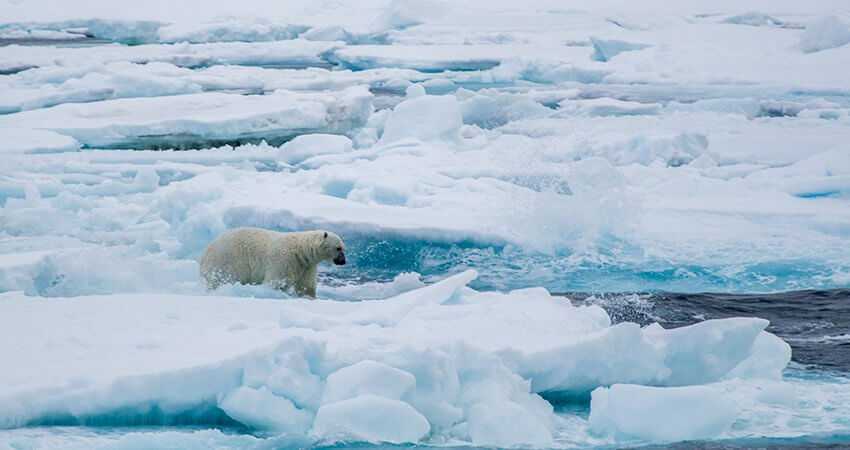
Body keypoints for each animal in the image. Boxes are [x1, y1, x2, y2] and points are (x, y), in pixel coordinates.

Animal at [199, 227, 346, 298]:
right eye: (338, 248)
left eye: (344, 248)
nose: (343, 261)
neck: (300, 251)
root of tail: (204, 255)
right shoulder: (284, 260)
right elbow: (277, 282)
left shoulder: (306, 266)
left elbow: (305, 286)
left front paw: (309, 297)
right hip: (227, 261)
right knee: (226, 278)